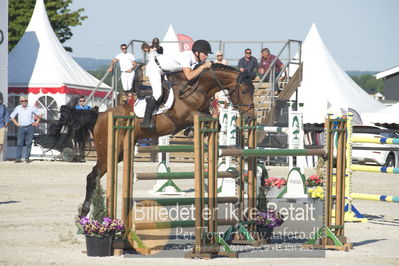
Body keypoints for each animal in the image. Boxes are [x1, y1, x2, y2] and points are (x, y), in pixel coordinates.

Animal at [63, 63, 256, 217]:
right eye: (244, 90)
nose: (250, 117)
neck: (197, 88)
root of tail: (100, 115)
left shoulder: (201, 113)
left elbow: (214, 120)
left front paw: (197, 135)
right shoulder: (185, 115)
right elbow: (211, 120)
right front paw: (196, 134)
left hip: (119, 153)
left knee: (96, 175)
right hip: (108, 151)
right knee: (92, 176)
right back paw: (84, 211)